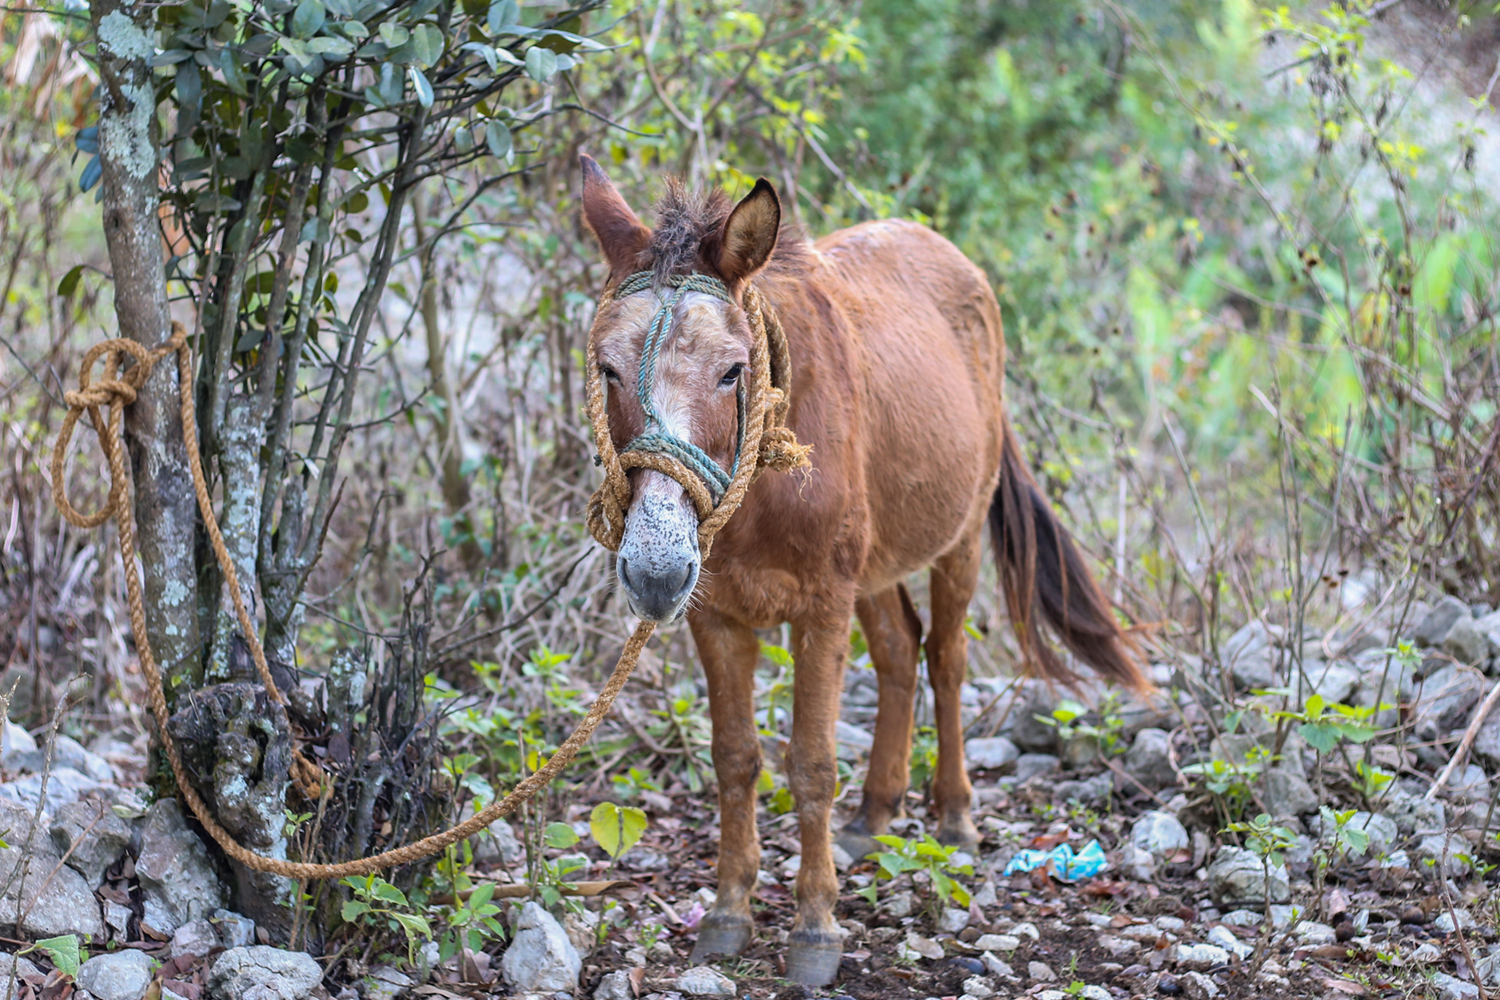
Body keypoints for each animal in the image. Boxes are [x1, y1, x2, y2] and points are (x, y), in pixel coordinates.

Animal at [579, 156, 1140, 983]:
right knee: (901, 650)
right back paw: (876, 813)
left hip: (958, 534)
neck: (761, 492)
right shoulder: (715, 614)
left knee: (945, 655)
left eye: (733, 372)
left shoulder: (820, 607)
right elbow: (735, 760)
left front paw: (815, 929)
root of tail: (937, 244)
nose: (653, 571)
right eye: (608, 370)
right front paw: (729, 911)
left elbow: (810, 764)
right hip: (874, 565)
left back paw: (954, 815)